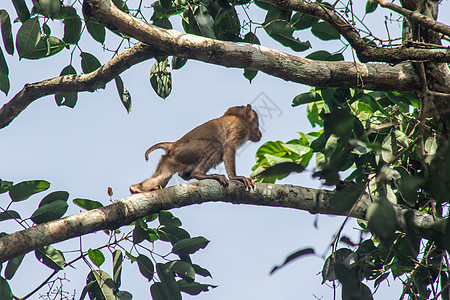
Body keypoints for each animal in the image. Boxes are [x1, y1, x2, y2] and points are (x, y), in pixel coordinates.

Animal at [128, 105, 262, 193]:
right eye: (257, 123)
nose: (259, 132)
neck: (237, 116)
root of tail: (173, 144)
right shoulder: (241, 127)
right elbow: (228, 145)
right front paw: (235, 177)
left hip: (169, 159)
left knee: (161, 177)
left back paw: (136, 188)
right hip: (186, 149)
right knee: (217, 145)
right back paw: (198, 174)